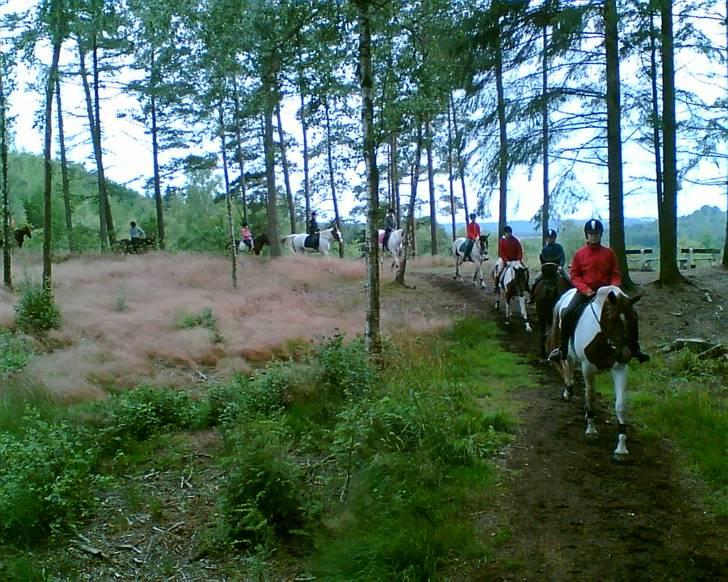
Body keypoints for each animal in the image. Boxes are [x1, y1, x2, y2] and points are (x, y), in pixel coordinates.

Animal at [548, 288, 644, 460]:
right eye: (612, 319)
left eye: (634, 318)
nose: (626, 353)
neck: (603, 337)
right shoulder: (587, 367)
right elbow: (590, 396)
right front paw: (591, 429)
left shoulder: (620, 368)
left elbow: (620, 406)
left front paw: (621, 447)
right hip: (569, 352)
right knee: (568, 366)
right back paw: (568, 392)